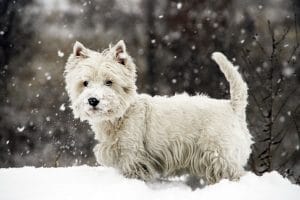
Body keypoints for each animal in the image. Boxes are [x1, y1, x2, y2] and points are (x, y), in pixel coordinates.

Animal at [64, 40, 252, 184]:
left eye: (109, 82)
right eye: (85, 83)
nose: (93, 100)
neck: (120, 116)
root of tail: (233, 106)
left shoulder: (132, 153)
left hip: (220, 153)